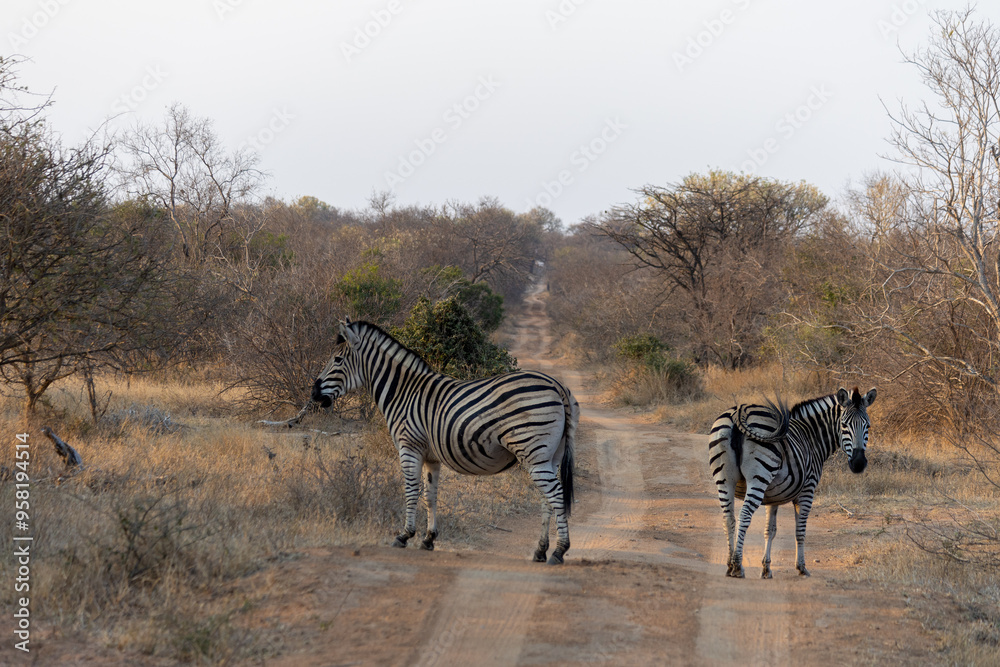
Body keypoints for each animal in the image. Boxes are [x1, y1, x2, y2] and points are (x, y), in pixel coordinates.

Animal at [311, 319, 579, 564]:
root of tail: (557, 385)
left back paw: (559, 551)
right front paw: (428, 538)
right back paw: (540, 551)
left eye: (337, 360)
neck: (403, 392)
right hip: (550, 456)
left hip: (533, 451)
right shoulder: (431, 457)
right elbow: (430, 495)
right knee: (547, 499)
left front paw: (404, 535)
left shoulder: (409, 447)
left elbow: (411, 491)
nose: (314, 394)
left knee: (556, 494)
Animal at [708, 387, 877, 578]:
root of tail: (738, 412)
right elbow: (800, 531)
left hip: (724, 479)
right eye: (844, 425)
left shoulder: (772, 495)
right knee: (744, 515)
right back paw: (738, 566)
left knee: (728, 518)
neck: (811, 437)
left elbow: (770, 530)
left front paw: (766, 569)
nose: (858, 463)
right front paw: (801, 567)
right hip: (758, 477)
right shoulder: (807, 490)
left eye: (868, 426)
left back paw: (729, 566)